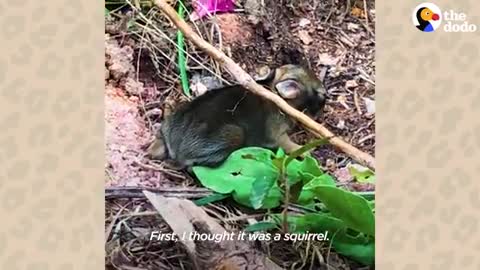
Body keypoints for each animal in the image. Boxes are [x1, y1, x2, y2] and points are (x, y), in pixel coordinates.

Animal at [146, 64, 326, 168]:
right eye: (318, 93)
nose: (326, 97)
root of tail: (175, 147)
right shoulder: (278, 136)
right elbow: (291, 146)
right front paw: (309, 152)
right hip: (235, 134)